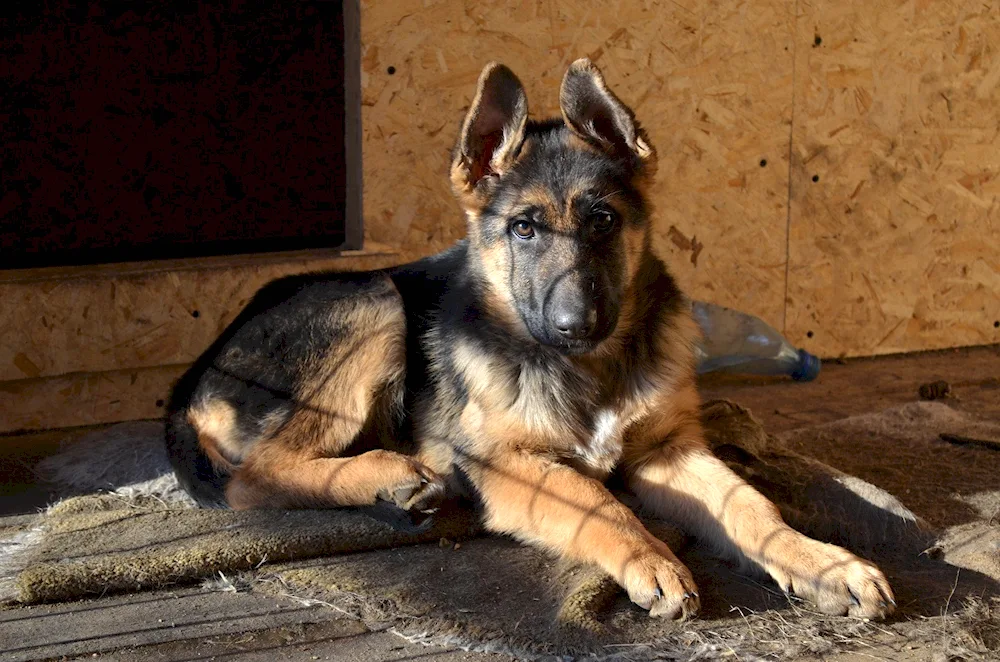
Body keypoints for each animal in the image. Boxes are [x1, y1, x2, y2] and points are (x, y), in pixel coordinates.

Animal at [166, 58, 900, 624]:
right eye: (524, 229)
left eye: (604, 222)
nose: (576, 326)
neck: (589, 370)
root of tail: (189, 380)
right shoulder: (504, 461)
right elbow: (597, 500)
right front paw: (651, 558)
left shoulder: (668, 452)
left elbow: (750, 504)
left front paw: (821, 562)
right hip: (371, 305)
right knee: (253, 478)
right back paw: (387, 476)